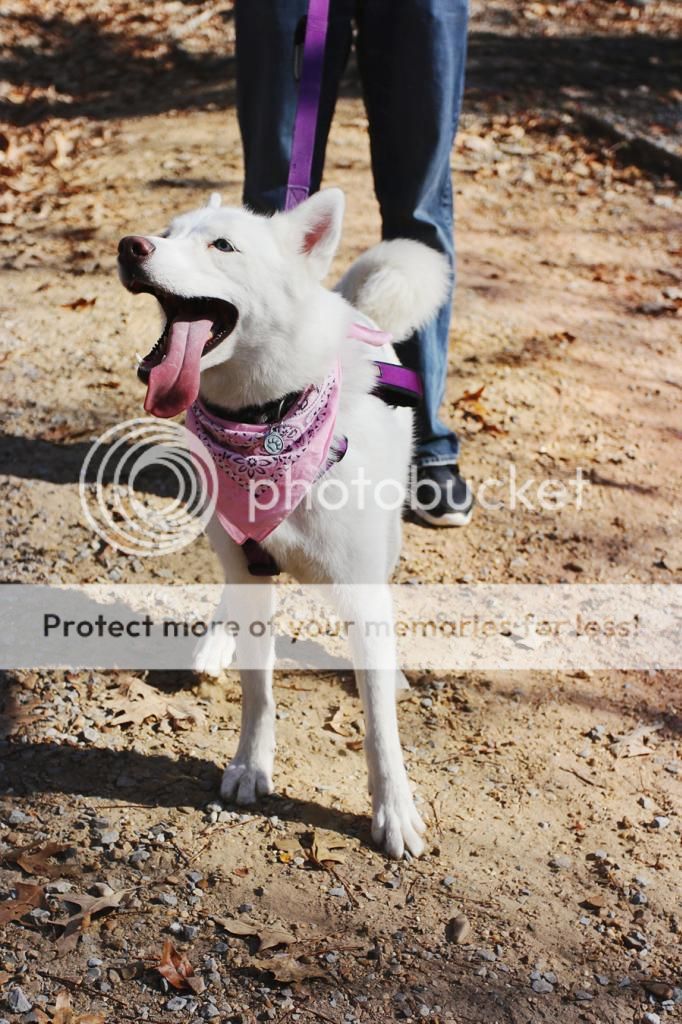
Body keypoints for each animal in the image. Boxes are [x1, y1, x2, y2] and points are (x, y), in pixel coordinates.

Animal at [118, 190, 446, 856]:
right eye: (167, 231)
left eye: (222, 245)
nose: (130, 246)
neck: (266, 420)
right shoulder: (250, 568)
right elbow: (259, 691)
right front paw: (250, 766)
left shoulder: (360, 591)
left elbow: (380, 724)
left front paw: (394, 810)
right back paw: (215, 642)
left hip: (388, 541)